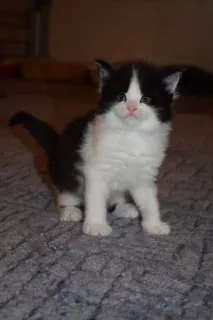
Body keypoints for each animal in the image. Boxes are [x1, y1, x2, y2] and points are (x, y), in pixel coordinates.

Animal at [9, 59, 213, 235]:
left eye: (145, 99)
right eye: (121, 97)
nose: (132, 107)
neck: (131, 135)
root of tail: (57, 145)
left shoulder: (146, 173)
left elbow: (149, 199)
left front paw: (154, 225)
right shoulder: (95, 169)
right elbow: (96, 198)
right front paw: (96, 225)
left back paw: (124, 207)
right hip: (66, 170)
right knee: (66, 191)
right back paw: (70, 211)